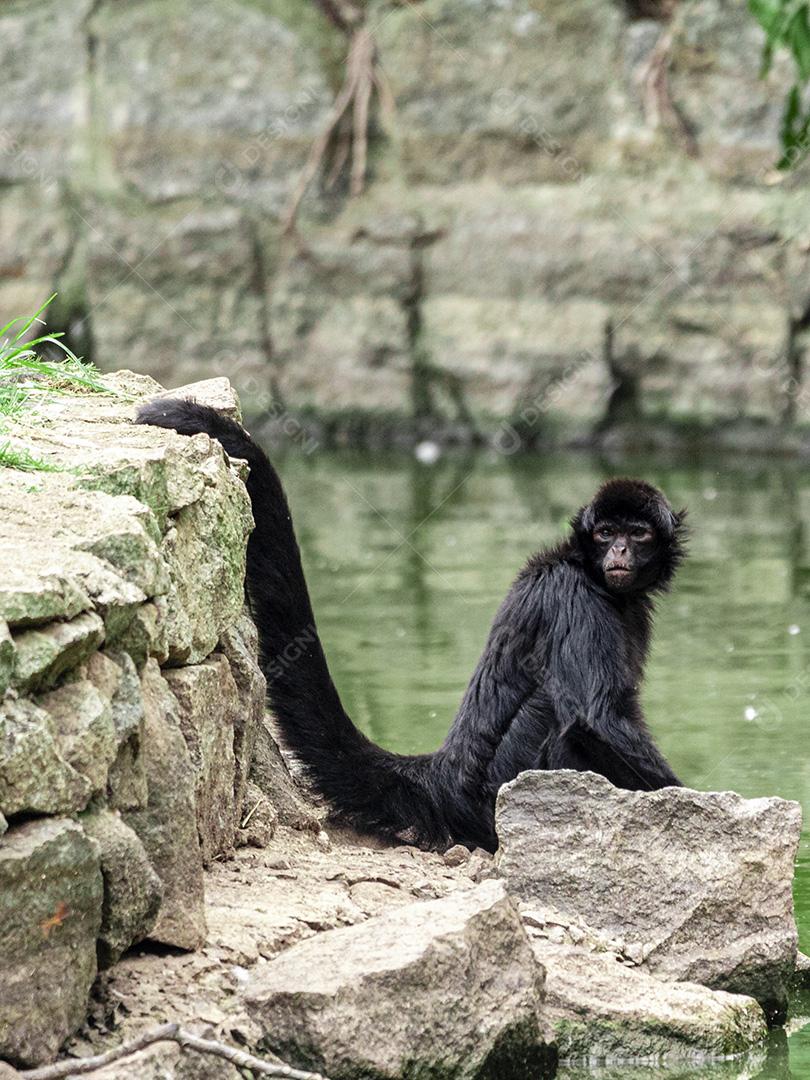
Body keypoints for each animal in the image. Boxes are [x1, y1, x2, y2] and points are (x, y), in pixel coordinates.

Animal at [136, 399, 686, 851]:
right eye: (606, 533)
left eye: (637, 534)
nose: (619, 551)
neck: (586, 568)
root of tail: (443, 776)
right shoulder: (577, 598)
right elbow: (597, 718)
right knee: (555, 710)